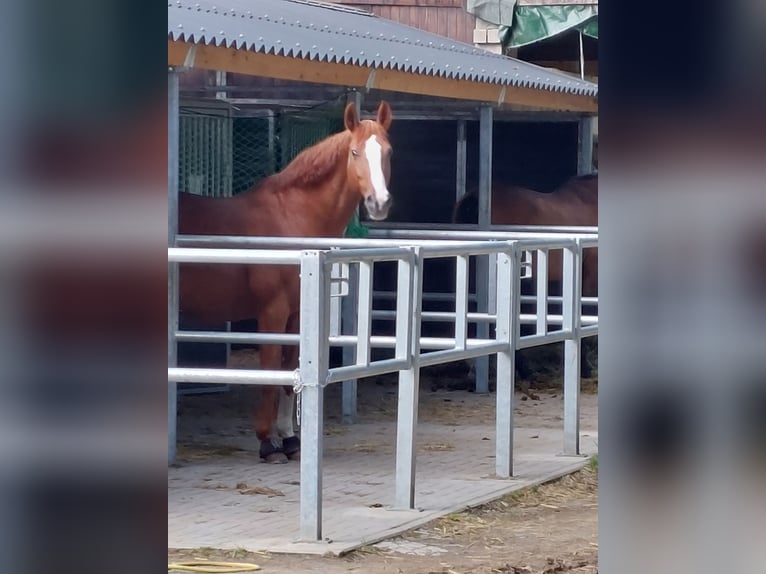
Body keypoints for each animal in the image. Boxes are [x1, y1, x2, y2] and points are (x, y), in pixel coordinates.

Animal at [179, 102, 392, 464]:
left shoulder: (295, 314)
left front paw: (290, 440)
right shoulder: (272, 313)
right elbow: (269, 375)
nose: (379, 203)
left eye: (388, 152)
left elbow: (289, 372)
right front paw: (267, 445)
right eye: (355, 152)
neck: (291, 217)